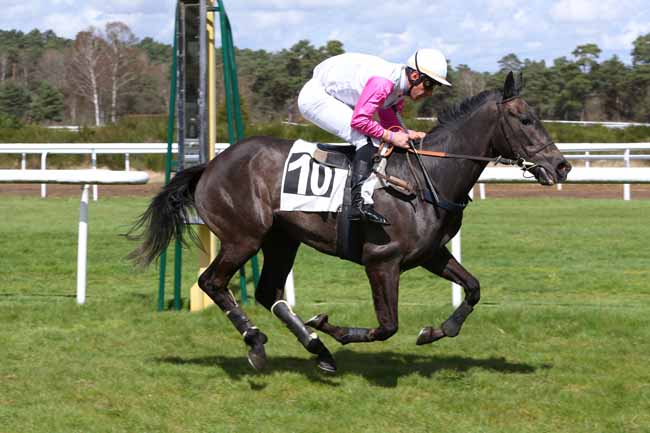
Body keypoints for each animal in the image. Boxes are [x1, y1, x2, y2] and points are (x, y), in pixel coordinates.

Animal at [128, 72, 571, 373]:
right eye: (526, 120)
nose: (562, 166)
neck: (426, 176)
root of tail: (210, 164)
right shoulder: (382, 260)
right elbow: (387, 325)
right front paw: (332, 328)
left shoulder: (430, 254)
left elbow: (474, 289)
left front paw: (434, 331)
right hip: (243, 238)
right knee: (212, 283)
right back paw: (256, 342)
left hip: (282, 240)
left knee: (269, 291)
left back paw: (316, 350)